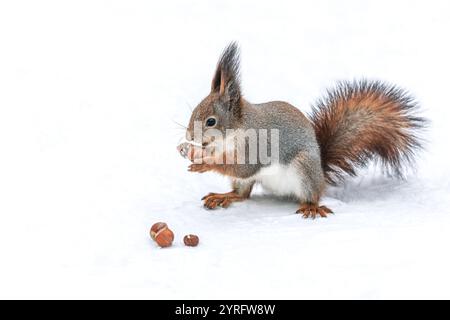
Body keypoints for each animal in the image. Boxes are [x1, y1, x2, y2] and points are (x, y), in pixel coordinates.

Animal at [177, 42, 426, 218]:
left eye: (211, 121)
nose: (189, 136)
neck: (232, 134)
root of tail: (321, 175)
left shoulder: (257, 147)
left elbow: (242, 167)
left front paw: (204, 164)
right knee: (243, 194)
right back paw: (224, 196)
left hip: (304, 169)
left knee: (311, 195)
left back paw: (311, 207)